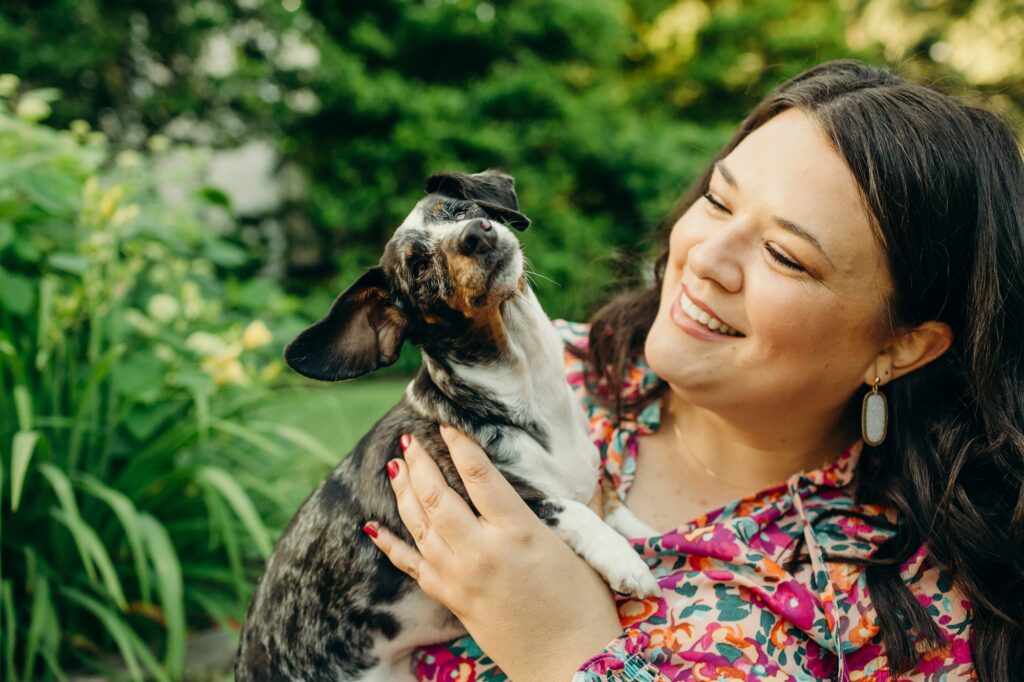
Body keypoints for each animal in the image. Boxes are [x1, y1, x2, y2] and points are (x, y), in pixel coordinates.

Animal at [234, 169, 655, 679]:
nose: (476, 234)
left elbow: (609, 498)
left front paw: (641, 531)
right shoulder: (495, 509)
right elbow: (570, 508)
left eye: (460, 210)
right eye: (417, 267)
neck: (529, 394)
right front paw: (624, 559)